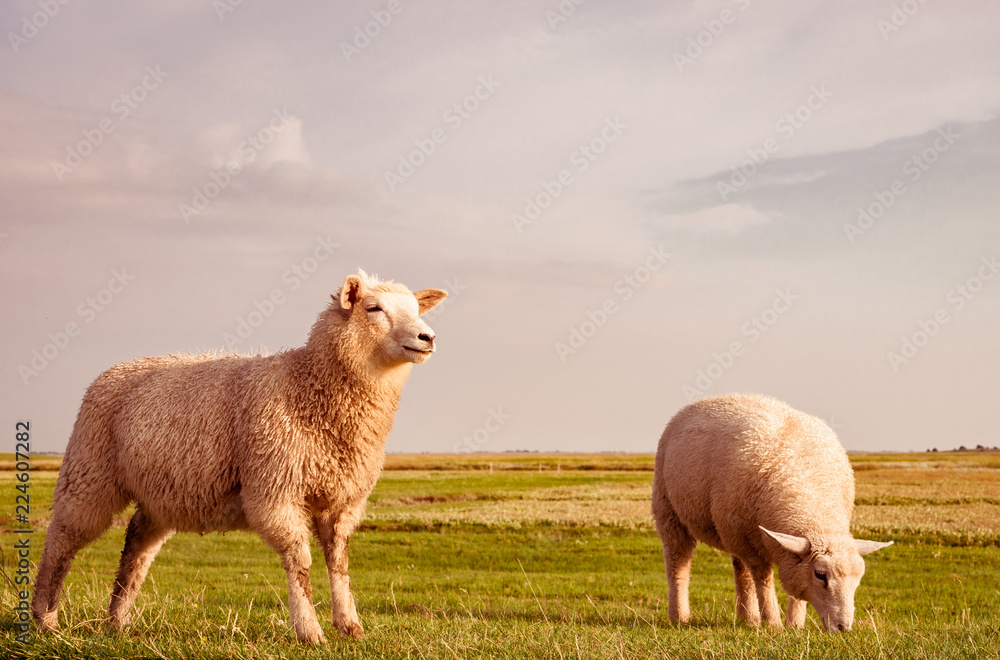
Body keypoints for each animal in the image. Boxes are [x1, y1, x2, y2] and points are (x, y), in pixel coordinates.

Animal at [32, 270, 447, 644]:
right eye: (373, 308)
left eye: (416, 309)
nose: (428, 338)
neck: (308, 385)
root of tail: (116, 369)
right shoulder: (276, 490)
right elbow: (300, 563)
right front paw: (310, 632)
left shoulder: (343, 500)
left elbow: (339, 563)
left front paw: (351, 627)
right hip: (89, 471)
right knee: (61, 540)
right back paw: (45, 620)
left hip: (160, 493)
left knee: (137, 544)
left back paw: (117, 622)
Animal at [651, 394, 892, 632]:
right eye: (821, 575)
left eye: (858, 577)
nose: (844, 627)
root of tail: (711, 399)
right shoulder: (752, 546)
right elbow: (763, 579)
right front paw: (773, 623)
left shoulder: (772, 544)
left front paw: (795, 623)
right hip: (670, 511)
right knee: (678, 564)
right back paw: (680, 616)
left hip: (732, 529)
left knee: (740, 570)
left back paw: (748, 618)